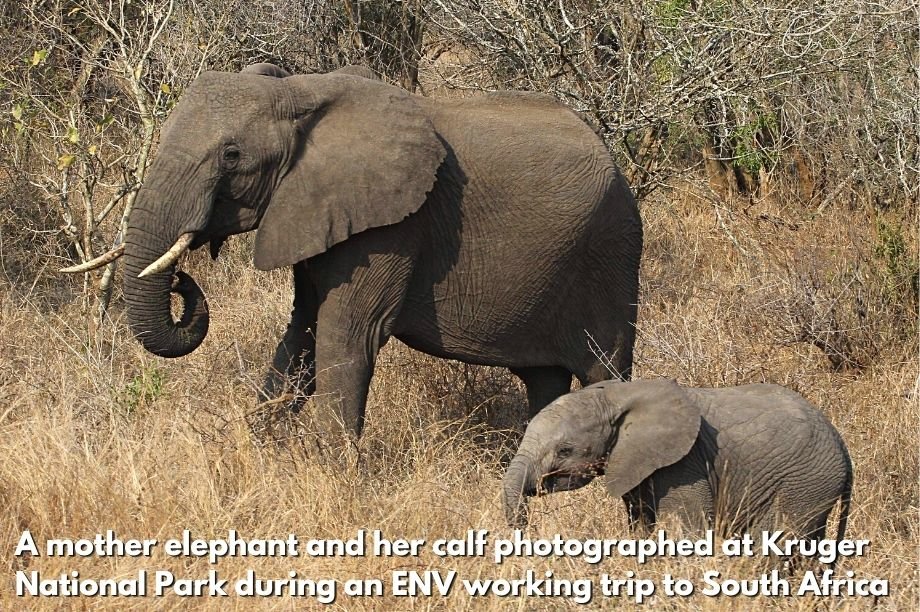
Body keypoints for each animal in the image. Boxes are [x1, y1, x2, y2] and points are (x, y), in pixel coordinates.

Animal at [85, 63, 642, 439]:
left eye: (232, 155)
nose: (182, 279)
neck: (299, 92)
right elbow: (303, 334)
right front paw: (262, 451)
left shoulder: (393, 226)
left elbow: (346, 335)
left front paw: (336, 477)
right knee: (543, 380)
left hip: (612, 251)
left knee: (603, 371)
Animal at [503, 379, 852, 544]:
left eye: (564, 450)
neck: (617, 395)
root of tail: (843, 449)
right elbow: (641, 524)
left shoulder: (685, 465)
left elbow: (686, 530)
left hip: (804, 482)